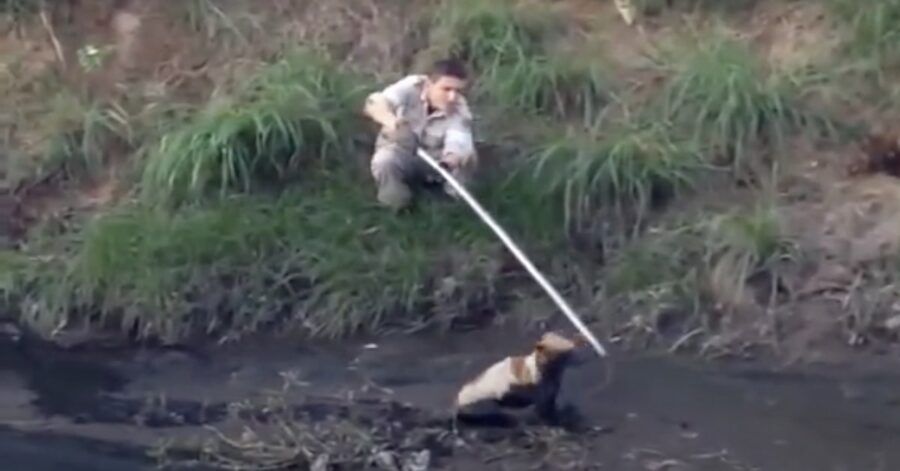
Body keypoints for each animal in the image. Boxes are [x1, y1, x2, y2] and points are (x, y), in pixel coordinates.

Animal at [454, 332, 596, 428]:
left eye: (570, 345)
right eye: (566, 352)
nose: (585, 343)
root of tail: (458, 402)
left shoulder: (551, 395)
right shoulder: (540, 400)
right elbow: (546, 414)